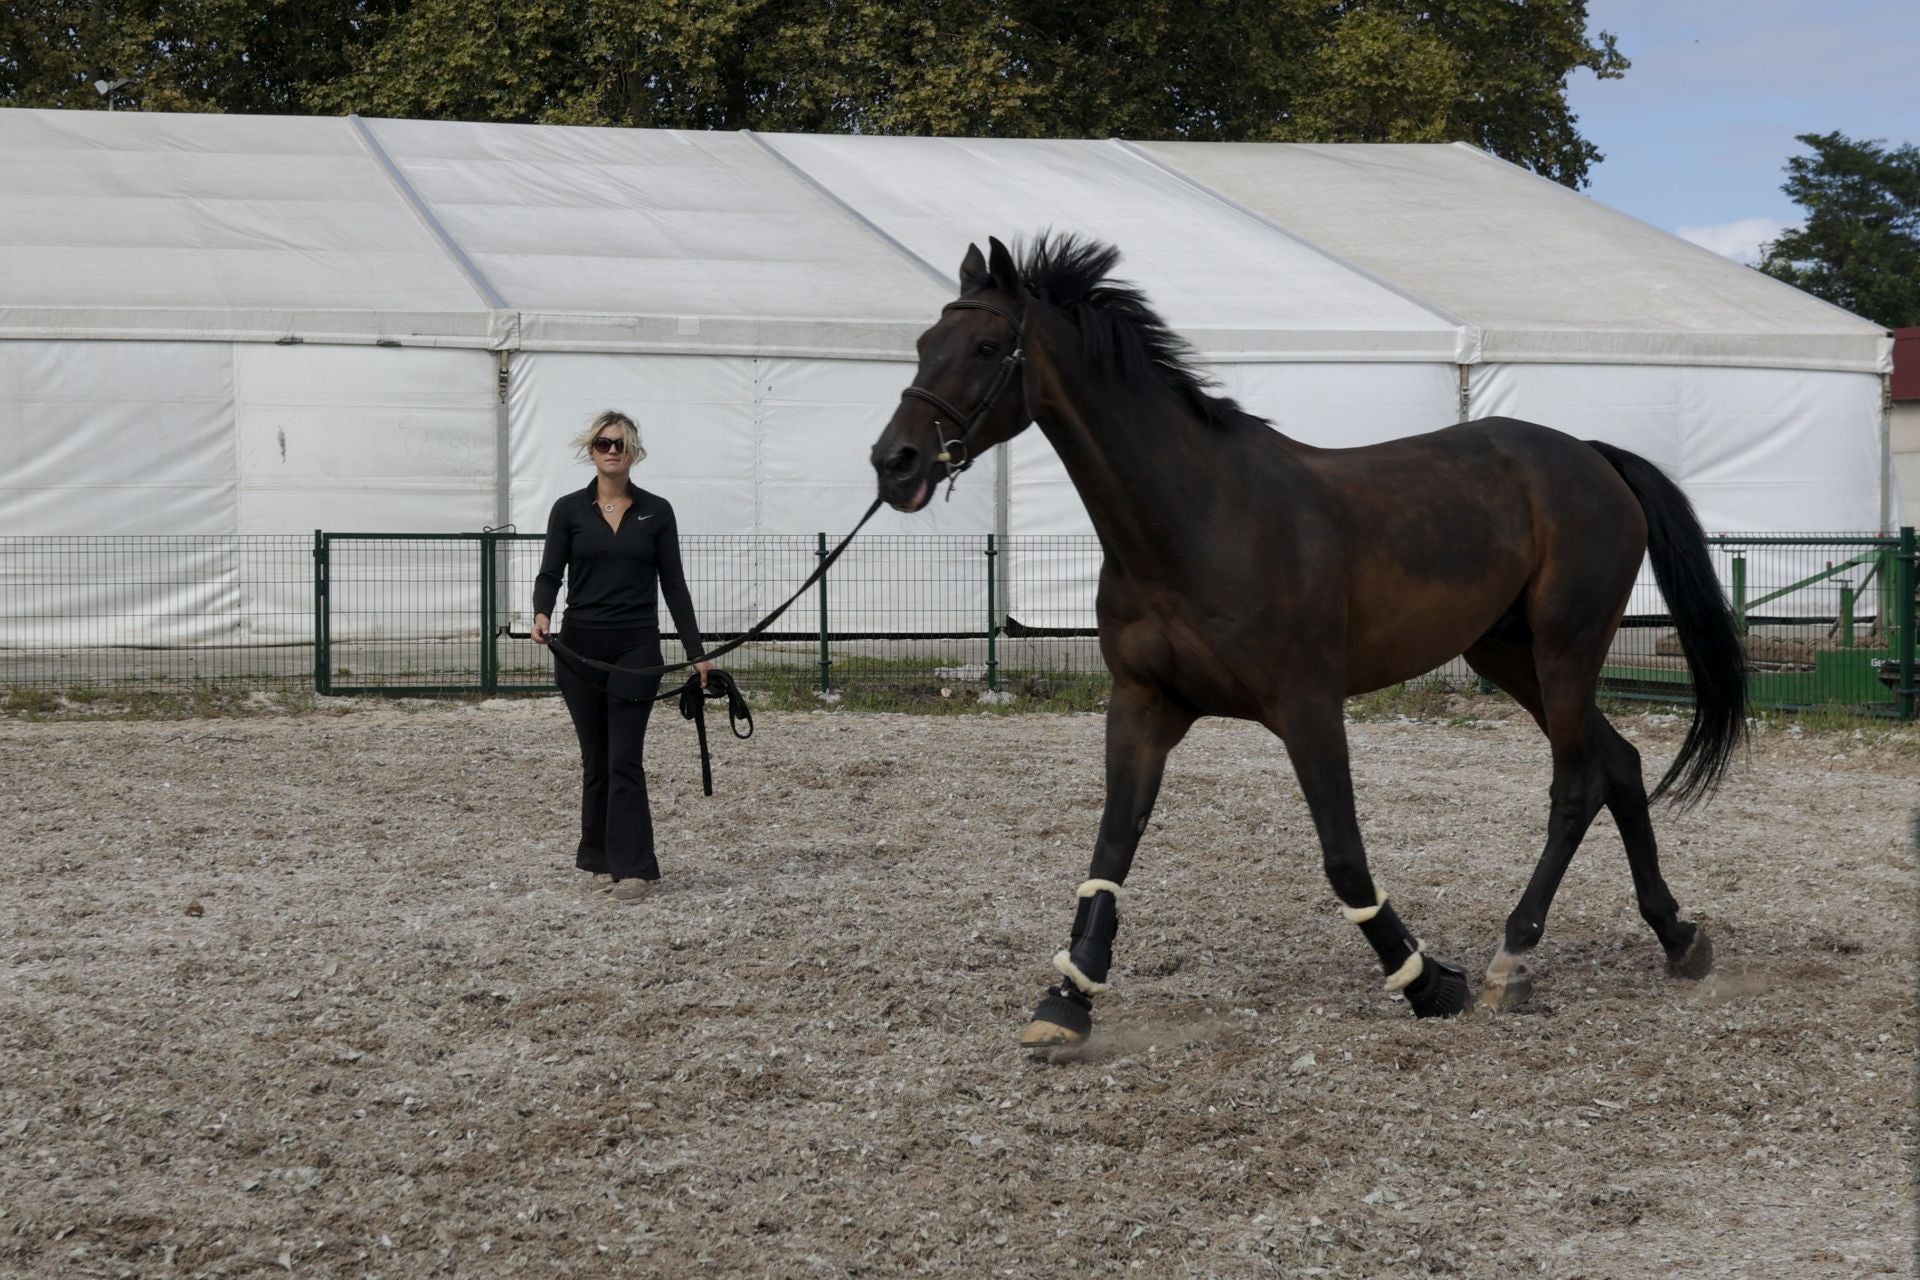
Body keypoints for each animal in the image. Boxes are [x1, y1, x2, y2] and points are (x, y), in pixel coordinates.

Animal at [871, 237, 1743, 1051]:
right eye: (924, 343)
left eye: (987, 348)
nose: (894, 462)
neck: (1197, 518)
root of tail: (1592, 456)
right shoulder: (1144, 705)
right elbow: (1111, 848)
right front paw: (1067, 998)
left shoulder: (1308, 707)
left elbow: (1343, 856)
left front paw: (1430, 983)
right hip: (1507, 653)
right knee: (1619, 764)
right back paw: (1677, 937)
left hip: (1565, 650)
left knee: (1576, 784)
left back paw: (1512, 958)